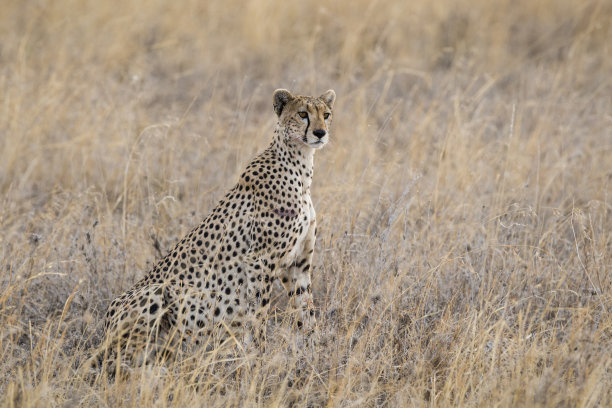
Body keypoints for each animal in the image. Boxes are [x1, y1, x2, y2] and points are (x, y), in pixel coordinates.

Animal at [102, 87, 338, 364]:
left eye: (326, 114)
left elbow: (306, 310)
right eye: (302, 114)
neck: (300, 167)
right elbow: (259, 312)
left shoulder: (297, 264)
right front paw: (260, 356)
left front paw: (315, 353)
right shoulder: (260, 260)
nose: (320, 133)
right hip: (157, 293)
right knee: (133, 356)